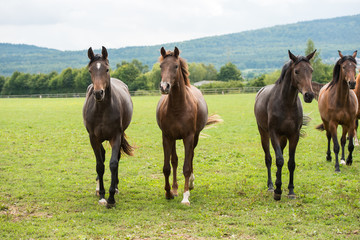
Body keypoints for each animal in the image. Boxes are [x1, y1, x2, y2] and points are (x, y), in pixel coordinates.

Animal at [83, 46, 134, 207]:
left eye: (106, 69)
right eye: (90, 70)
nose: (98, 93)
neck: (102, 110)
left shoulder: (116, 136)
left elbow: (113, 163)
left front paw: (111, 197)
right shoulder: (93, 138)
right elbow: (100, 165)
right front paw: (102, 195)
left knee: (115, 158)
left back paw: (115, 187)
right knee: (102, 156)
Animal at [155, 47, 221, 206]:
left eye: (176, 66)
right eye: (161, 66)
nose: (164, 86)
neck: (178, 107)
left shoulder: (188, 137)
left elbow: (186, 167)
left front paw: (185, 196)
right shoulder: (166, 137)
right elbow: (167, 167)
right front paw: (168, 192)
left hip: (195, 138)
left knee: (190, 157)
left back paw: (190, 183)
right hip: (173, 139)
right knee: (174, 161)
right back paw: (175, 189)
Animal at [253, 49, 316, 201]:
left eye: (311, 70)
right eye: (297, 71)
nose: (309, 95)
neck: (286, 104)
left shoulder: (294, 135)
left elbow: (290, 162)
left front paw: (291, 190)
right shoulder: (274, 134)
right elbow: (279, 160)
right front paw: (277, 191)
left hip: (283, 138)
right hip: (264, 134)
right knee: (269, 159)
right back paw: (271, 185)